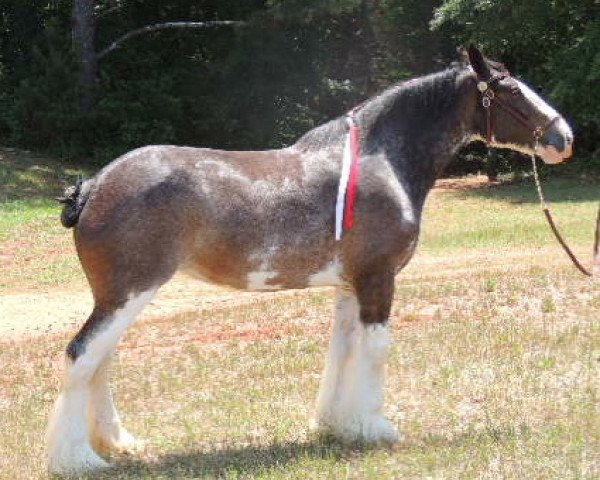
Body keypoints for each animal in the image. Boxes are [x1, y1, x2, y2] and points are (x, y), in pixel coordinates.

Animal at [45, 47, 572, 474]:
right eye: (509, 92)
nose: (563, 137)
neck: (381, 163)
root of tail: (92, 186)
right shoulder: (378, 280)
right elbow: (376, 350)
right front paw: (376, 426)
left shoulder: (349, 285)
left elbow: (342, 349)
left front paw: (339, 425)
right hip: (128, 292)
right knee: (81, 355)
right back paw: (78, 459)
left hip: (122, 297)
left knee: (100, 361)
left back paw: (117, 443)